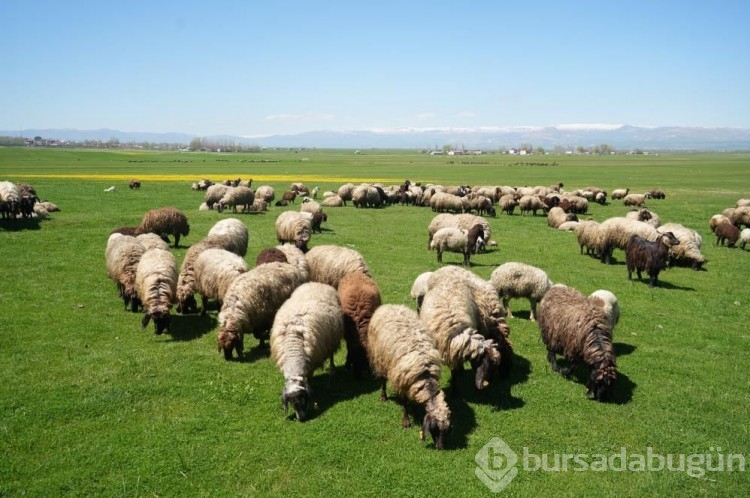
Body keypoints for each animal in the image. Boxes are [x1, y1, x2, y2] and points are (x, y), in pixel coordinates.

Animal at [272, 280, 346, 420]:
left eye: (303, 399)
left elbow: (310, 379)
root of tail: (317, 283)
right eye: (291, 403)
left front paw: (311, 387)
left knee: (331, 355)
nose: (301, 419)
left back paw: (332, 369)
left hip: (332, 339)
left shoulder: (312, 362)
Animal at [366, 304, 450, 452]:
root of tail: (388, 306)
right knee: (382, 380)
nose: (440, 447)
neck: (425, 374)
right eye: (434, 428)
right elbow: (405, 403)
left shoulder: (413, 385)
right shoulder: (403, 382)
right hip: (379, 358)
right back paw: (383, 396)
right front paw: (406, 422)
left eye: (446, 430)